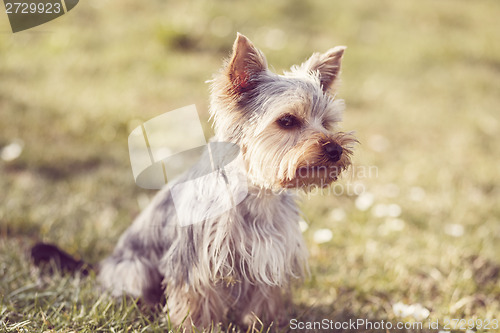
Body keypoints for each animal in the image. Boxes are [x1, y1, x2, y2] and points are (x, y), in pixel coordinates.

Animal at [31, 32, 356, 328]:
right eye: (287, 121)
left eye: (327, 122)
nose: (335, 150)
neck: (257, 192)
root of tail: (100, 266)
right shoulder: (196, 261)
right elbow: (195, 302)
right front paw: (196, 326)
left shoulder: (269, 256)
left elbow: (263, 302)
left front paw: (261, 325)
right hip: (133, 268)